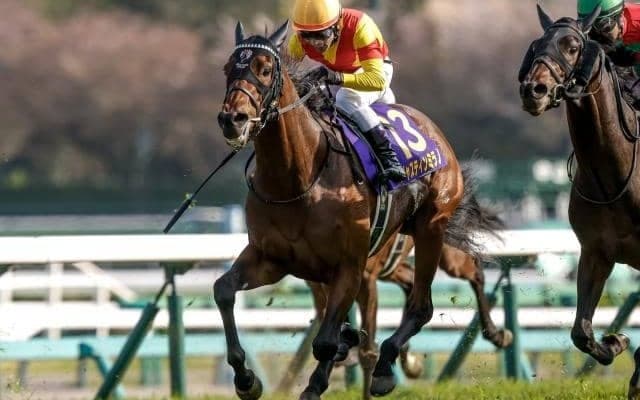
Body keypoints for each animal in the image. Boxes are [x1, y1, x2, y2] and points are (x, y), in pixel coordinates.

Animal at [215, 21, 497, 399]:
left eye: (264, 68)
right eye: (228, 69)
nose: (233, 118)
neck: (297, 181)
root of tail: (431, 128)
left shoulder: (352, 267)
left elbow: (328, 342)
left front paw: (317, 383)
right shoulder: (272, 259)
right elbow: (223, 290)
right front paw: (246, 380)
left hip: (433, 230)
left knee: (429, 300)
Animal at [519, 5, 639, 398]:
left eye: (572, 46)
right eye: (535, 45)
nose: (534, 90)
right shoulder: (594, 252)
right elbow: (581, 332)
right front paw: (616, 343)